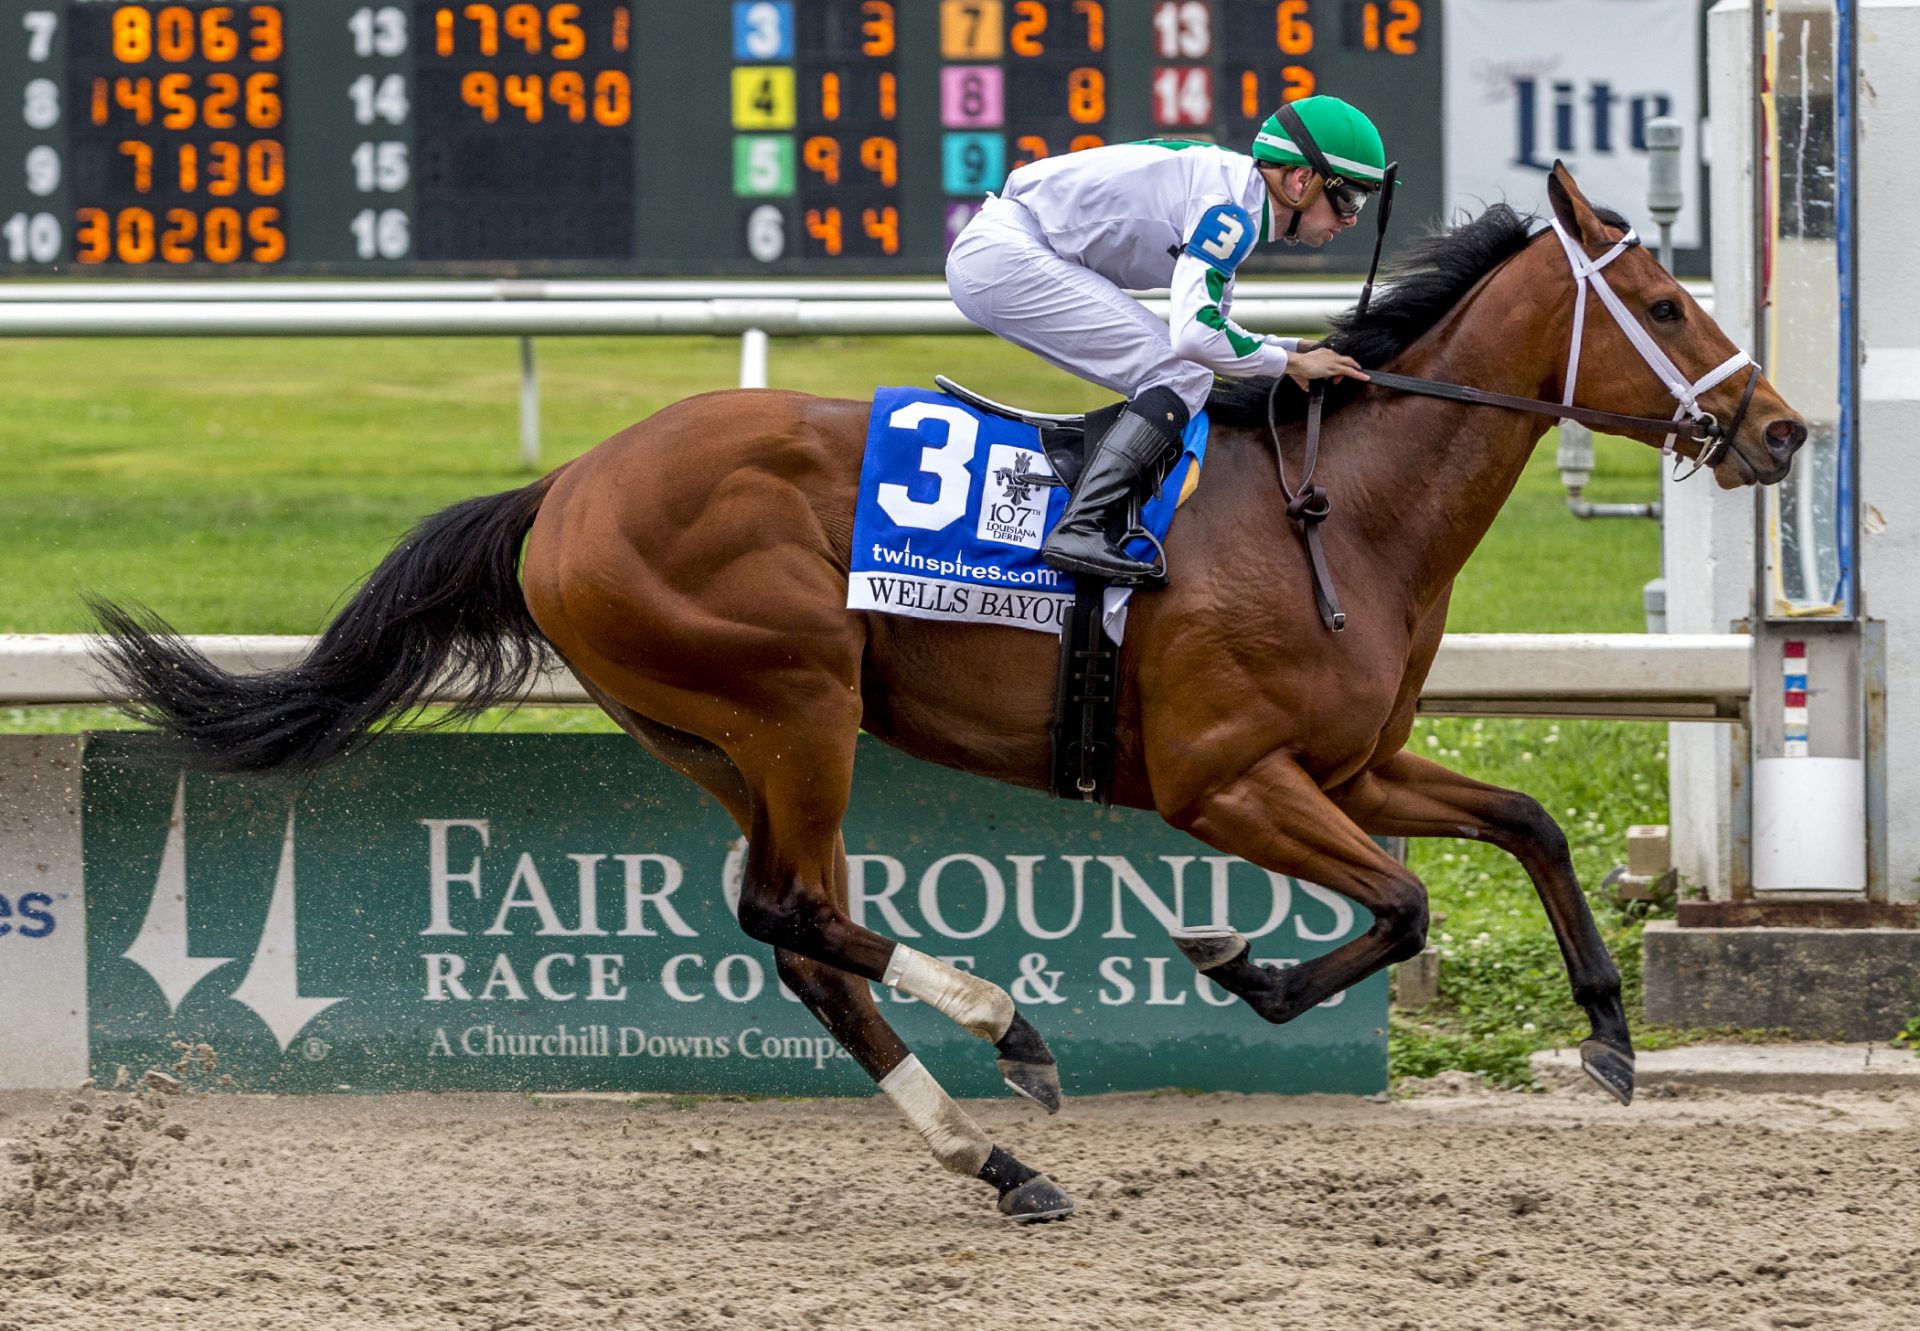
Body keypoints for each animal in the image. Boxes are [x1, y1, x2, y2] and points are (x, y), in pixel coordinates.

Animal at [86, 169, 1797, 1221]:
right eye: (1666, 299)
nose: (1778, 428)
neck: (1340, 504)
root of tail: (563, 484)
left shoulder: (1351, 762)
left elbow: (1522, 822)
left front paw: (1609, 1033)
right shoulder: (1227, 778)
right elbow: (1402, 903)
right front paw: (1237, 960)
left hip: (721, 733)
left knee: (801, 938)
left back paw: (993, 1154)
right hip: (791, 700)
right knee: (788, 909)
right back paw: (1008, 1030)